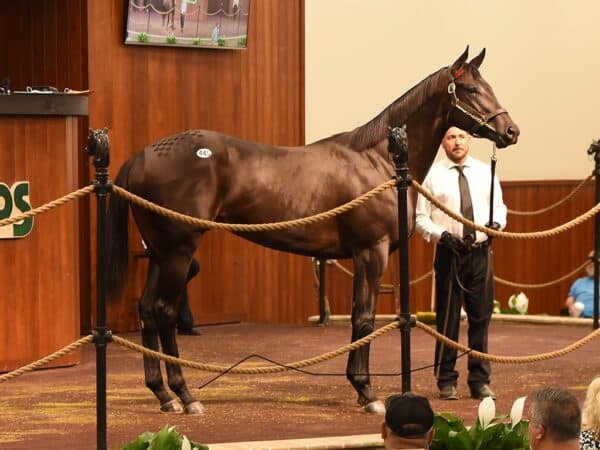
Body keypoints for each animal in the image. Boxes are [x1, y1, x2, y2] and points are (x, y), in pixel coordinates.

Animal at [105, 46, 516, 414]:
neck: (379, 161)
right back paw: (186, 396)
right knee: (165, 311)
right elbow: (364, 317)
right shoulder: (371, 252)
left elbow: (359, 316)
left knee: (147, 310)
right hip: (178, 252)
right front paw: (367, 393)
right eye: (472, 90)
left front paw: (361, 388)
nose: (511, 130)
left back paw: (163, 395)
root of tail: (141, 157)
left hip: (160, 253)